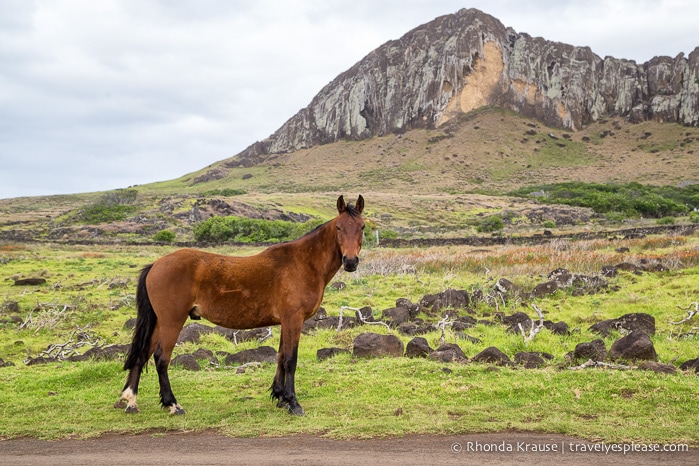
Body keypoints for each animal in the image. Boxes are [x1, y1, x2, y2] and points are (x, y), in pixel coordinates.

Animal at [117, 194, 366, 416]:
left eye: (362, 227)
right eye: (339, 228)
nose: (350, 262)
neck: (303, 263)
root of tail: (156, 264)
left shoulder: (285, 322)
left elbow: (280, 357)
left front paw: (280, 397)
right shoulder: (293, 320)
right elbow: (290, 359)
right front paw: (293, 403)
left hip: (159, 322)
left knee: (143, 354)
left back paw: (131, 401)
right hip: (172, 321)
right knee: (161, 358)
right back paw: (172, 404)